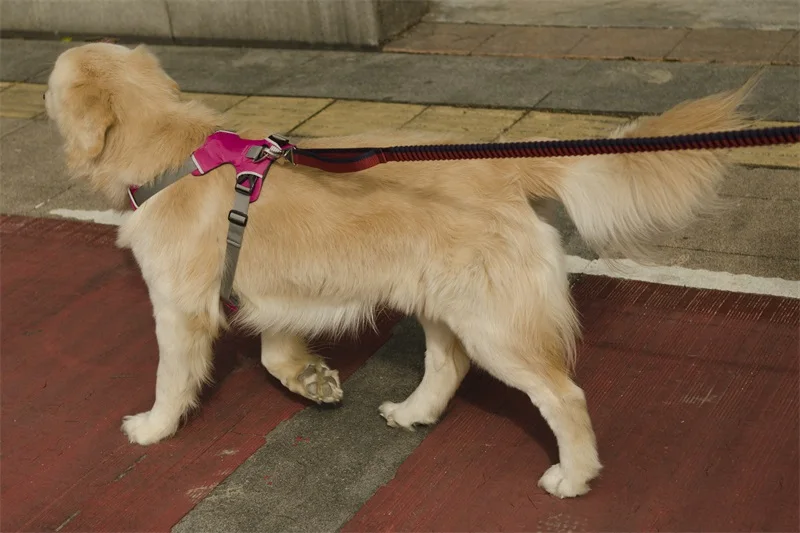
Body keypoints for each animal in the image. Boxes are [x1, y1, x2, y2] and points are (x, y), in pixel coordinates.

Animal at [43, 42, 756, 498]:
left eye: (48, 84)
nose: (45, 85)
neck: (174, 154)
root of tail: (503, 165)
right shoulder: (275, 296)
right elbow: (276, 354)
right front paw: (312, 381)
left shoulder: (179, 309)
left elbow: (171, 377)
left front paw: (153, 428)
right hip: (442, 304)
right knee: (447, 366)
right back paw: (415, 412)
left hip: (495, 326)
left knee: (564, 396)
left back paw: (574, 477)